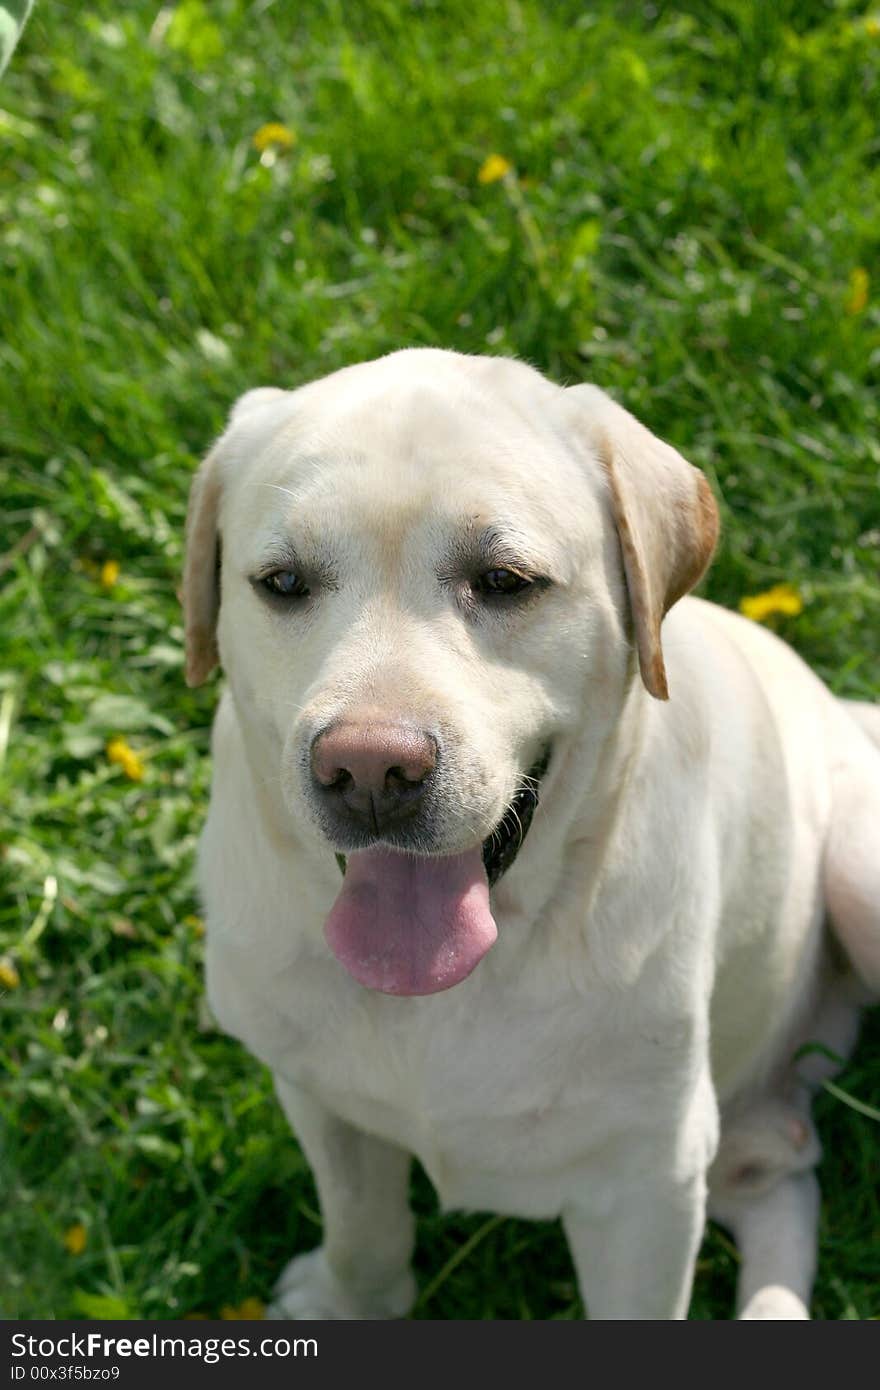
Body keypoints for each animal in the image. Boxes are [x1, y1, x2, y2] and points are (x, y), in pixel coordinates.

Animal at [182, 350, 873, 1323]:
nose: (368, 769)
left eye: (505, 580)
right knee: (786, 1188)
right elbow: (363, 1232)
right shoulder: (321, 1098)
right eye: (282, 583)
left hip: (856, 865)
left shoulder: (646, 1187)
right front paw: (352, 1301)